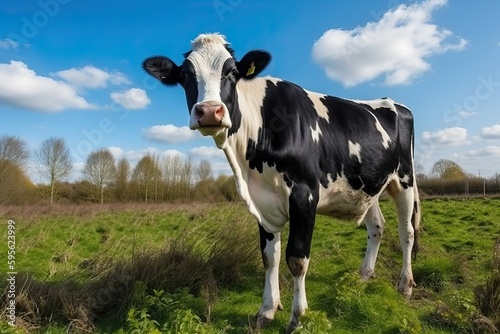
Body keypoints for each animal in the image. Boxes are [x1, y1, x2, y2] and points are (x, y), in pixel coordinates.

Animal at [143, 32, 420, 332]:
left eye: (232, 72)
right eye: (185, 75)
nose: (209, 111)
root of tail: (394, 103)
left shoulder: (304, 194)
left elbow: (296, 259)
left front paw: (298, 317)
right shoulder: (261, 202)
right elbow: (269, 257)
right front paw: (267, 309)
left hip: (404, 179)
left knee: (407, 232)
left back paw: (405, 284)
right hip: (368, 186)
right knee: (377, 226)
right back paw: (365, 275)